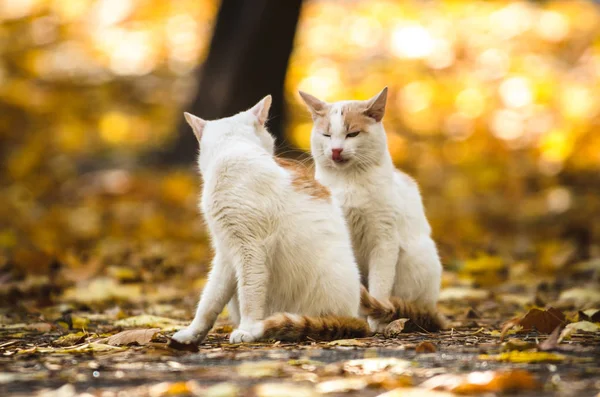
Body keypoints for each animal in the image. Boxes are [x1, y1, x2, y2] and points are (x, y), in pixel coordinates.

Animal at [171, 94, 370, 344]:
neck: (235, 151)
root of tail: (355, 318)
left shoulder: (251, 249)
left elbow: (250, 293)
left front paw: (247, 329)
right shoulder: (225, 252)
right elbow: (210, 299)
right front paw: (193, 332)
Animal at [300, 89, 446, 332]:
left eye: (352, 134)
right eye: (327, 135)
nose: (336, 150)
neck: (349, 181)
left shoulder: (384, 239)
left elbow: (379, 286)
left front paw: (377, 321)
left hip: (418, 260)